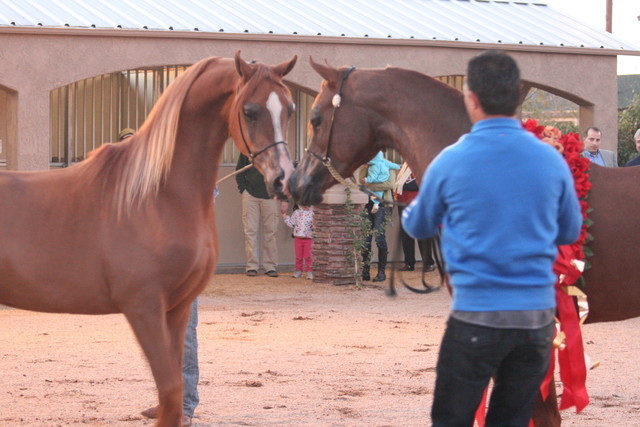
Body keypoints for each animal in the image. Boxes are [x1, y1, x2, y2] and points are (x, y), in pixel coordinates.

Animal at [0, 51, 297, 426]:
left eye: (290, 109)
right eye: (250, 110)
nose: (283, 179)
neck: (157, 196)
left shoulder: (178, 308)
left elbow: (175, 388)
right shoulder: (143, 307)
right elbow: (170, 390)